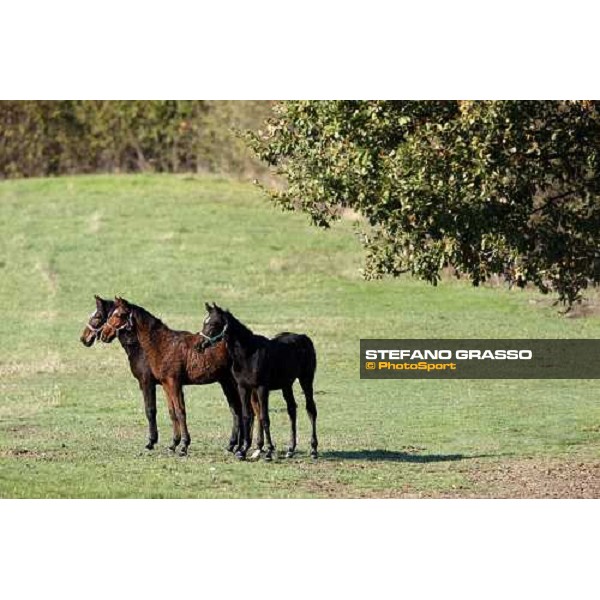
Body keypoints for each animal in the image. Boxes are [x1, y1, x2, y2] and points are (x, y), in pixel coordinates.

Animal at [97, 296, 243, 454]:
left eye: (119, 315)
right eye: (109, 314)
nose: (103, 334)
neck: (162, 344)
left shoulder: (169, 383)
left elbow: (177, 411)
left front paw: (183, 445)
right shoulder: (166, 384)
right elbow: (172, 412)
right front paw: (174, 444)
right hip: (226, 382)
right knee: (236, 410)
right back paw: (232, 445)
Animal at [198, 302, 322, 462]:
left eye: (214, 323)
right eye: (204, 322)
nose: (200, 345)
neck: (248, 354)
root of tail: (305, 338)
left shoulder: (262, 388)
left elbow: (264, 417)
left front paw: (268, 452)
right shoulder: (243, 387)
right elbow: (247, 415)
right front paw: (243, 451)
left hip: (306, 379)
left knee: (311, 409)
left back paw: (313, 450)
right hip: (286, 384)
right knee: (292, 409)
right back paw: (290, 449)